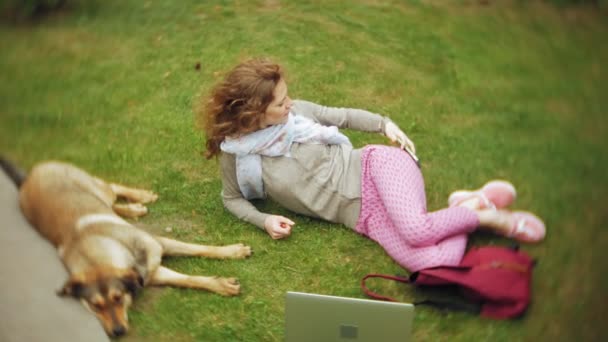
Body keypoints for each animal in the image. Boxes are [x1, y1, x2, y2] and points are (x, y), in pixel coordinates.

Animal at [0, 159, 252, 338]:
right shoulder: (151, 273)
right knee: (112, 205)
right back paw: (135, 209)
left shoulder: (159, 244)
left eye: (118, 298)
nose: (117, 333)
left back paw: (141, 197)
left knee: (112, 188)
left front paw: (233, 252)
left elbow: (199, 249)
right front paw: (221, 284)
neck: (99, 255)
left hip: (95, 187)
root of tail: (28, 176)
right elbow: (189, 280)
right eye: (95, 306)